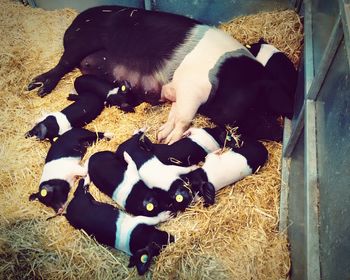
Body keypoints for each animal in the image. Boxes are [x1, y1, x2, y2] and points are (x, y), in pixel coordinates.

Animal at [27, 5, 292, 143]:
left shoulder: (180, 92)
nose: (279, 134)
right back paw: (37, 88)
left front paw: (161, 135)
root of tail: (74, 21)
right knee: (62, 64)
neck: (227, 79)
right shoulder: (193, 89)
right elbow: (183, 118)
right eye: (257, 107)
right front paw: (169, 140)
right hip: (81, 42)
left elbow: (176, 114)